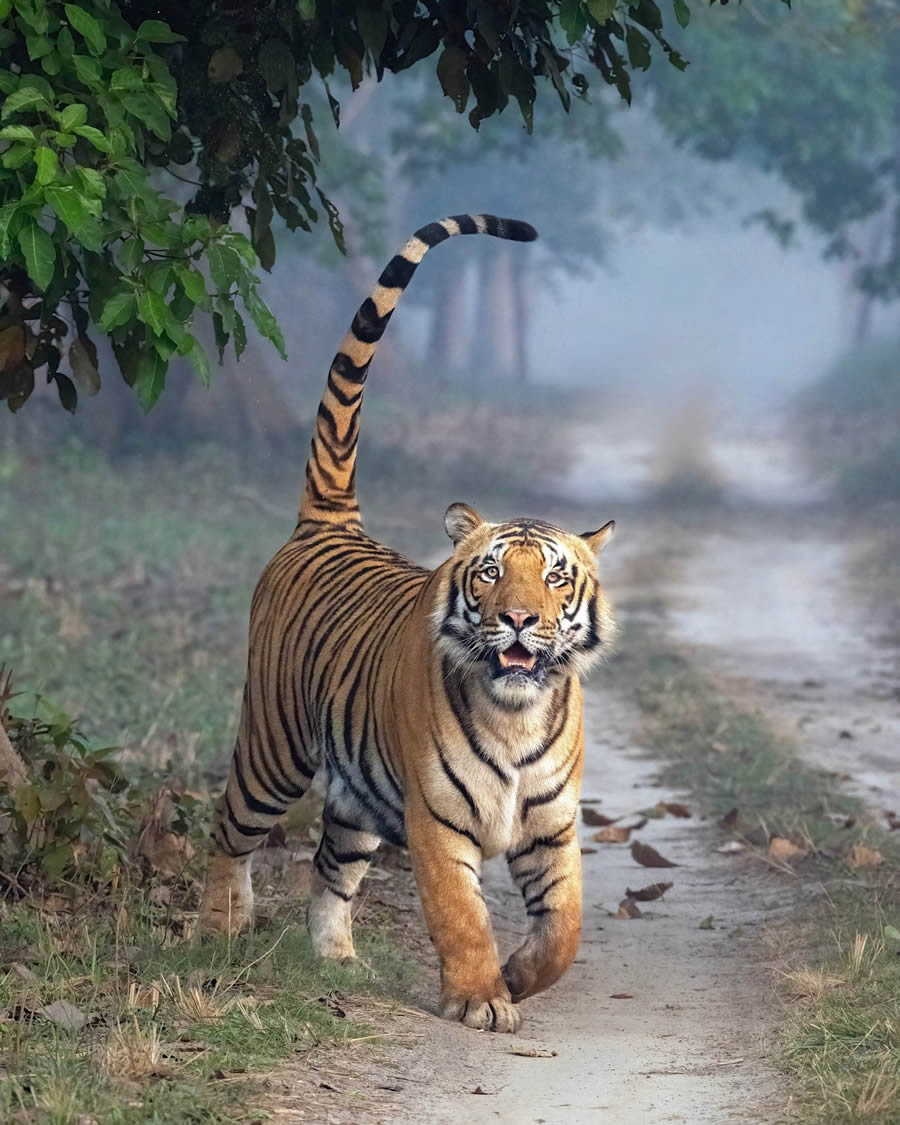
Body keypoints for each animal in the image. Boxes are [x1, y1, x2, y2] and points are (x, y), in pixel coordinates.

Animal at [199, 214, 616, 1030]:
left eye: (556, 576)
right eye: (490, 571)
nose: (519, 619)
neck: (516, 712)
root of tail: (331, 522)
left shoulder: (552, 824)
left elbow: (567, 929)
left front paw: (519, 977)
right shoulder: (440, 818)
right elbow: (461, 915)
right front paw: (483, 996)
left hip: (356, 795)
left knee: (330, 865)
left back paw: (334, 957)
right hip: (273, 747)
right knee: (228, 829)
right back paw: (218, 928)